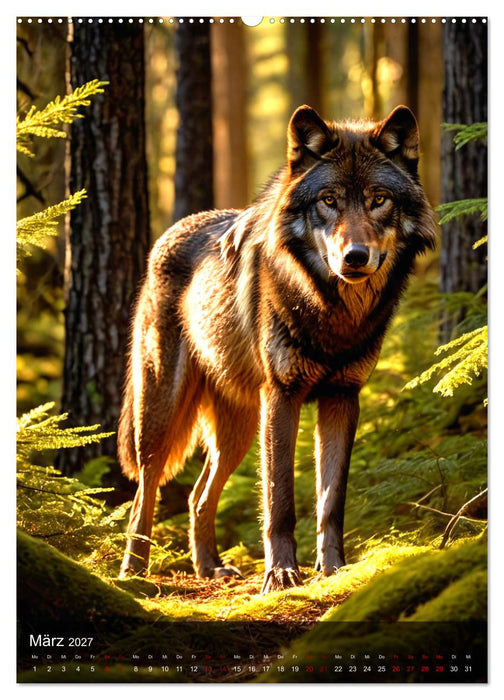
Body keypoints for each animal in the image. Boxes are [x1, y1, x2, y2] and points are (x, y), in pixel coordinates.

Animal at [117, 104, 436, 592]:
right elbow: (280, 500)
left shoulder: (343, 398)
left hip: (240, 427)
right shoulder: (282, 397)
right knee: (145, 492)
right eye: (329, 200)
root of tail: (171, 231)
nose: (355, 257)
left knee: (197, 495)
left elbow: (331, 501)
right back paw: (133, 574)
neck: (332, 313)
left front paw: (334, 569)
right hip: (163, 412)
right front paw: (282, 574)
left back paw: (209, 567)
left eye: (379, 199)